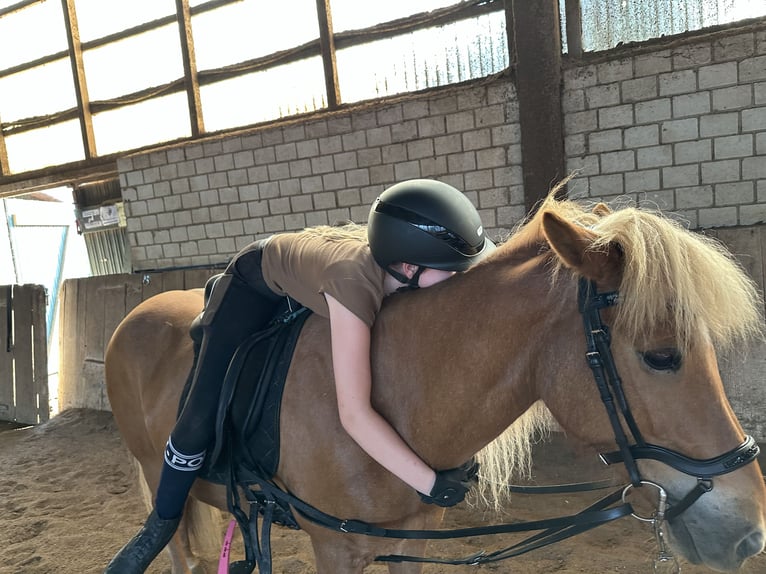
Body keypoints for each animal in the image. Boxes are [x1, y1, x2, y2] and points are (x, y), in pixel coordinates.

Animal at [105, 191, 764, 572]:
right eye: (661, 357)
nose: (750, 535)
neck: (405, 398)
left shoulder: (411, 540)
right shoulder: (335, 547)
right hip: (162, 473)